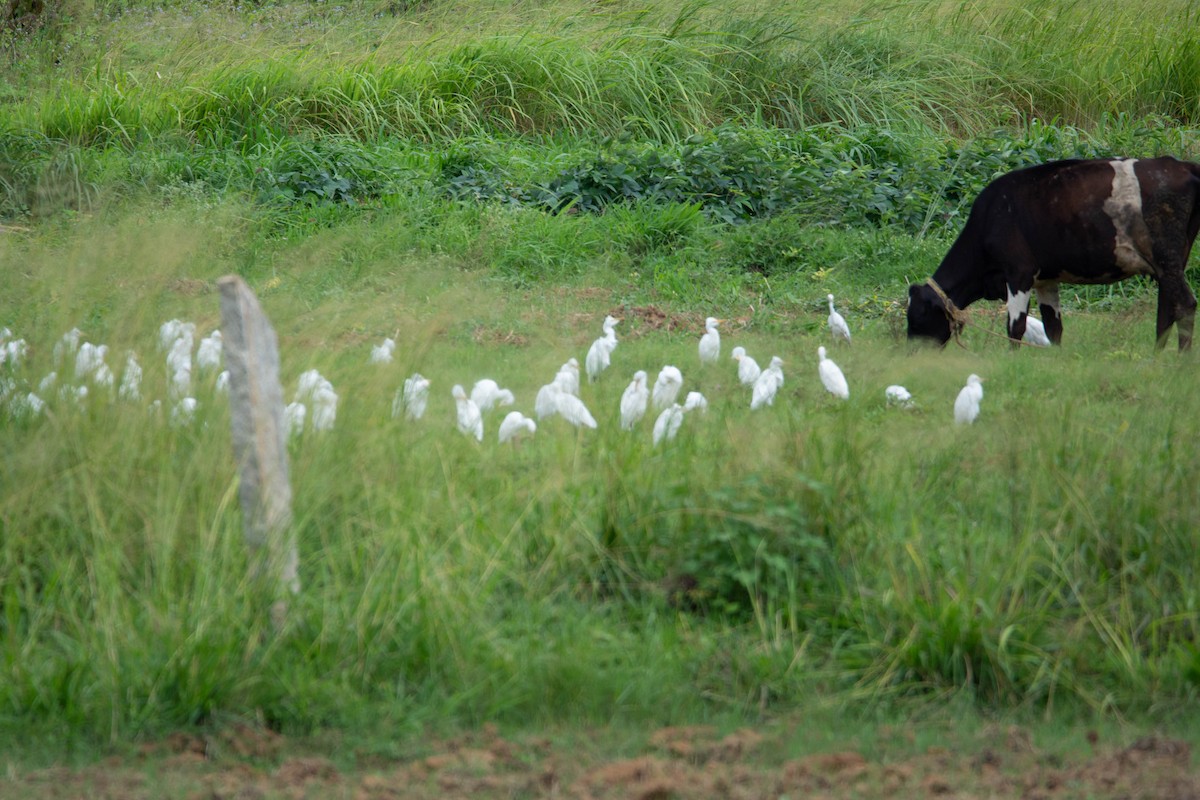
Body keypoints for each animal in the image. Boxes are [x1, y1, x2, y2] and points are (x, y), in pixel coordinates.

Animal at [907, 159, 1200, 350]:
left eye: (917, 315)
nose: (912, 352)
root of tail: (1182, 165)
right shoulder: (1046, 279)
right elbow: (1053, 327)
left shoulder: (1019, 273)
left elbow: (1016, 327)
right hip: (1170, 264)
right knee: (1166, 312)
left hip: (1165, 258)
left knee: (1185, 305)